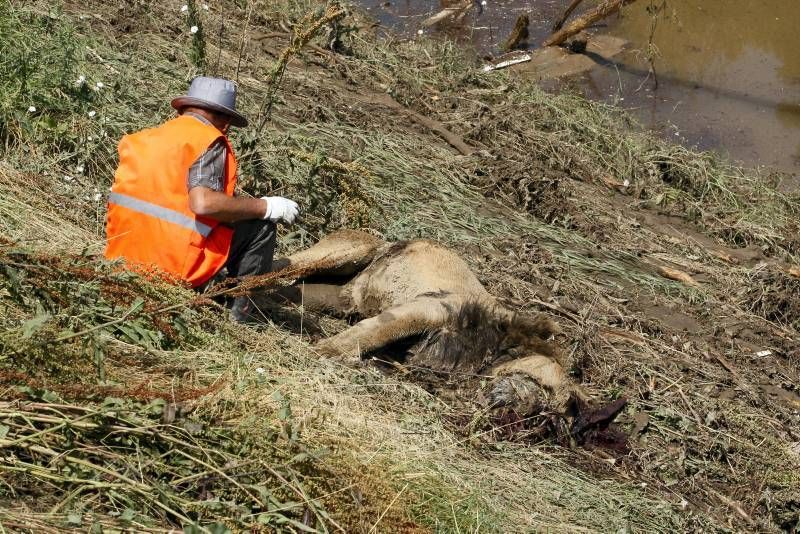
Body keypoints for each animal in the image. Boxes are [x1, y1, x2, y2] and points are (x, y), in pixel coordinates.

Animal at [276, 230, 592, 418]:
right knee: (283, 265)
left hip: (335, 296)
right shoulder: (428, 309)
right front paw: (324, 351)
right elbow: (375, 331)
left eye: (547, 414)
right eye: (543, 388)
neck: (490, 353)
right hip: (352, 250)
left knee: (293, 290)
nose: (518, 412)